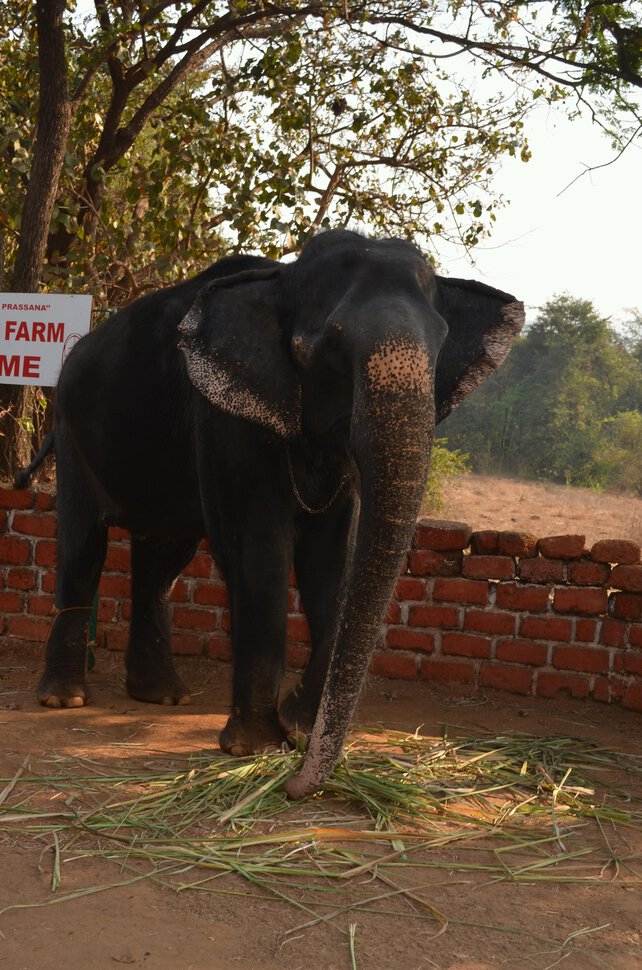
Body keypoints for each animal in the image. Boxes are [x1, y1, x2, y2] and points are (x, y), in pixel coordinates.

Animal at [22, 227, 524, 796]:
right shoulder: (222, 414)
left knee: (163, 556)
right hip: (69, 427)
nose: (296, 786)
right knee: (84, 546)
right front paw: (257, 747)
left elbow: (331, 556)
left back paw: (164, 696)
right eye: (326, 348)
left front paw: (298, 727)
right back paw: (65, 699)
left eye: (441, 345)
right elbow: (258, 546)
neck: (280, 278)